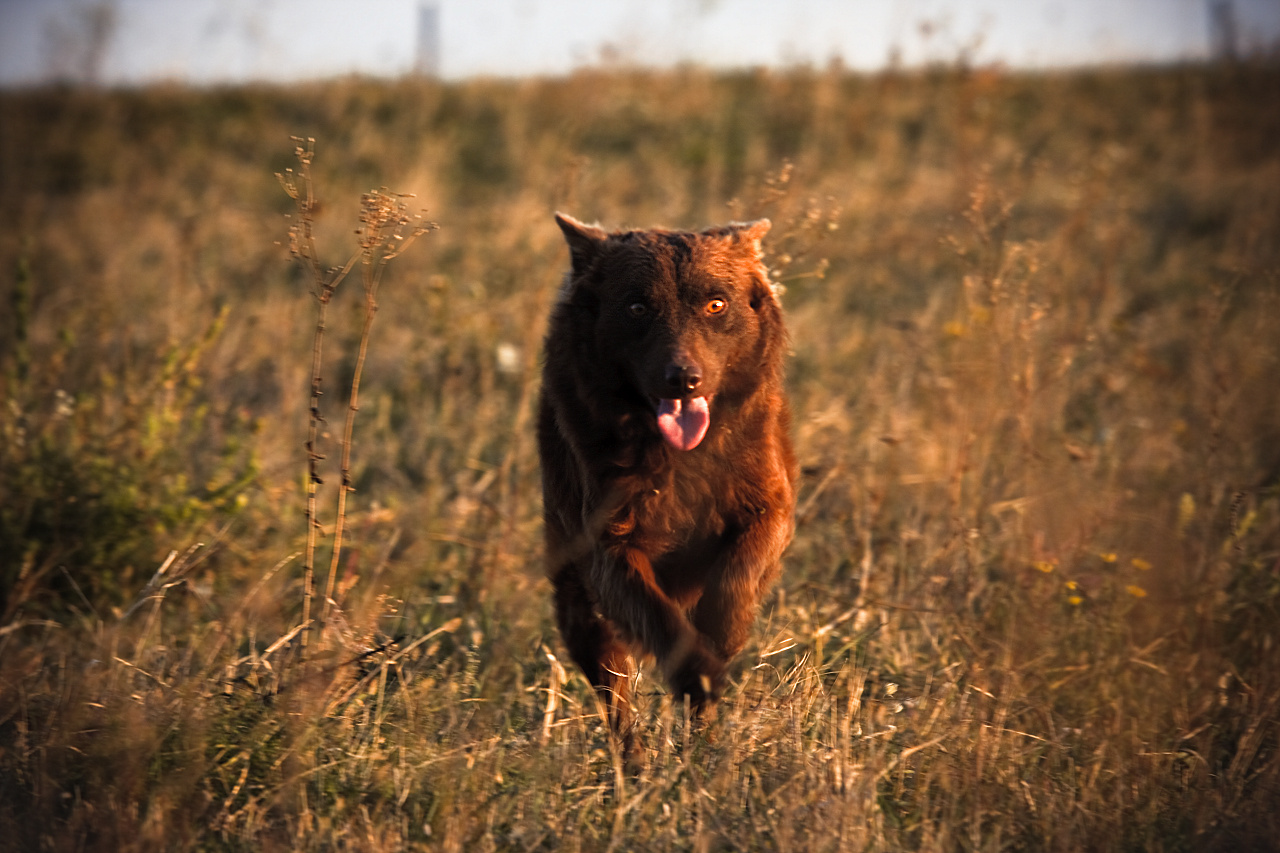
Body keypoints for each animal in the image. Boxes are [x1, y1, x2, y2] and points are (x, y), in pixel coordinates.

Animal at [535, 211, 793, 753]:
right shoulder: (610, 550)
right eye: (637, 308)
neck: (678, 460)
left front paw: (721, 638)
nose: (684, 380)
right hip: (580, 610)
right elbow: (663, 623)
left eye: (716, 305)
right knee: (618, 705)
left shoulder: (771, 510)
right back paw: (635, 764)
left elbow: (735, 579)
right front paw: (699, 673)